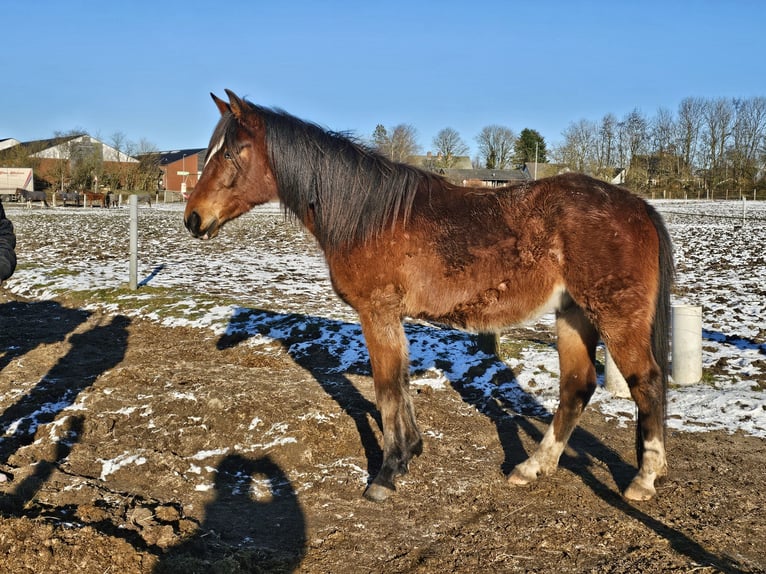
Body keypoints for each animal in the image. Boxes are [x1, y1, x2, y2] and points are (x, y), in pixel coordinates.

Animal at [183, 91, 676, 504]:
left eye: (231, 152)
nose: (193, 218)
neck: (369, 215)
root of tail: (637, 206)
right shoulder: (392, 317)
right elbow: (400, 385)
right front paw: (411, 452)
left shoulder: (377, 312)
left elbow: (385, 389)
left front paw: (386, 474)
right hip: (573, 316)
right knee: (577, 387)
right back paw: (533, 467)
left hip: (613, 317)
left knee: (647, 382)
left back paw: (643, 480)